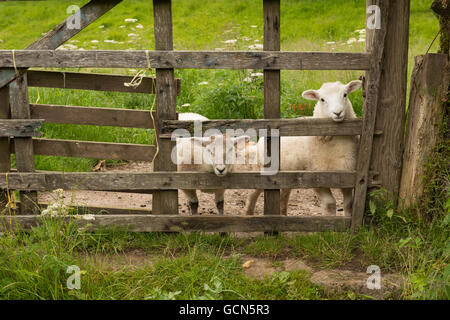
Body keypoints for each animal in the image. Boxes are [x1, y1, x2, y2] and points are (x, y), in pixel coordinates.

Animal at [246, 79, 362, 218]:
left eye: (345, 94)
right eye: (322, 99)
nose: (338, 113)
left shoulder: (347, 176)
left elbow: (348, 204)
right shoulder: (317, 179)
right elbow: (330, 204)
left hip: (287, 174)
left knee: (283, 196)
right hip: (264, 170)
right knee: (253, 192)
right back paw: (248, 213)